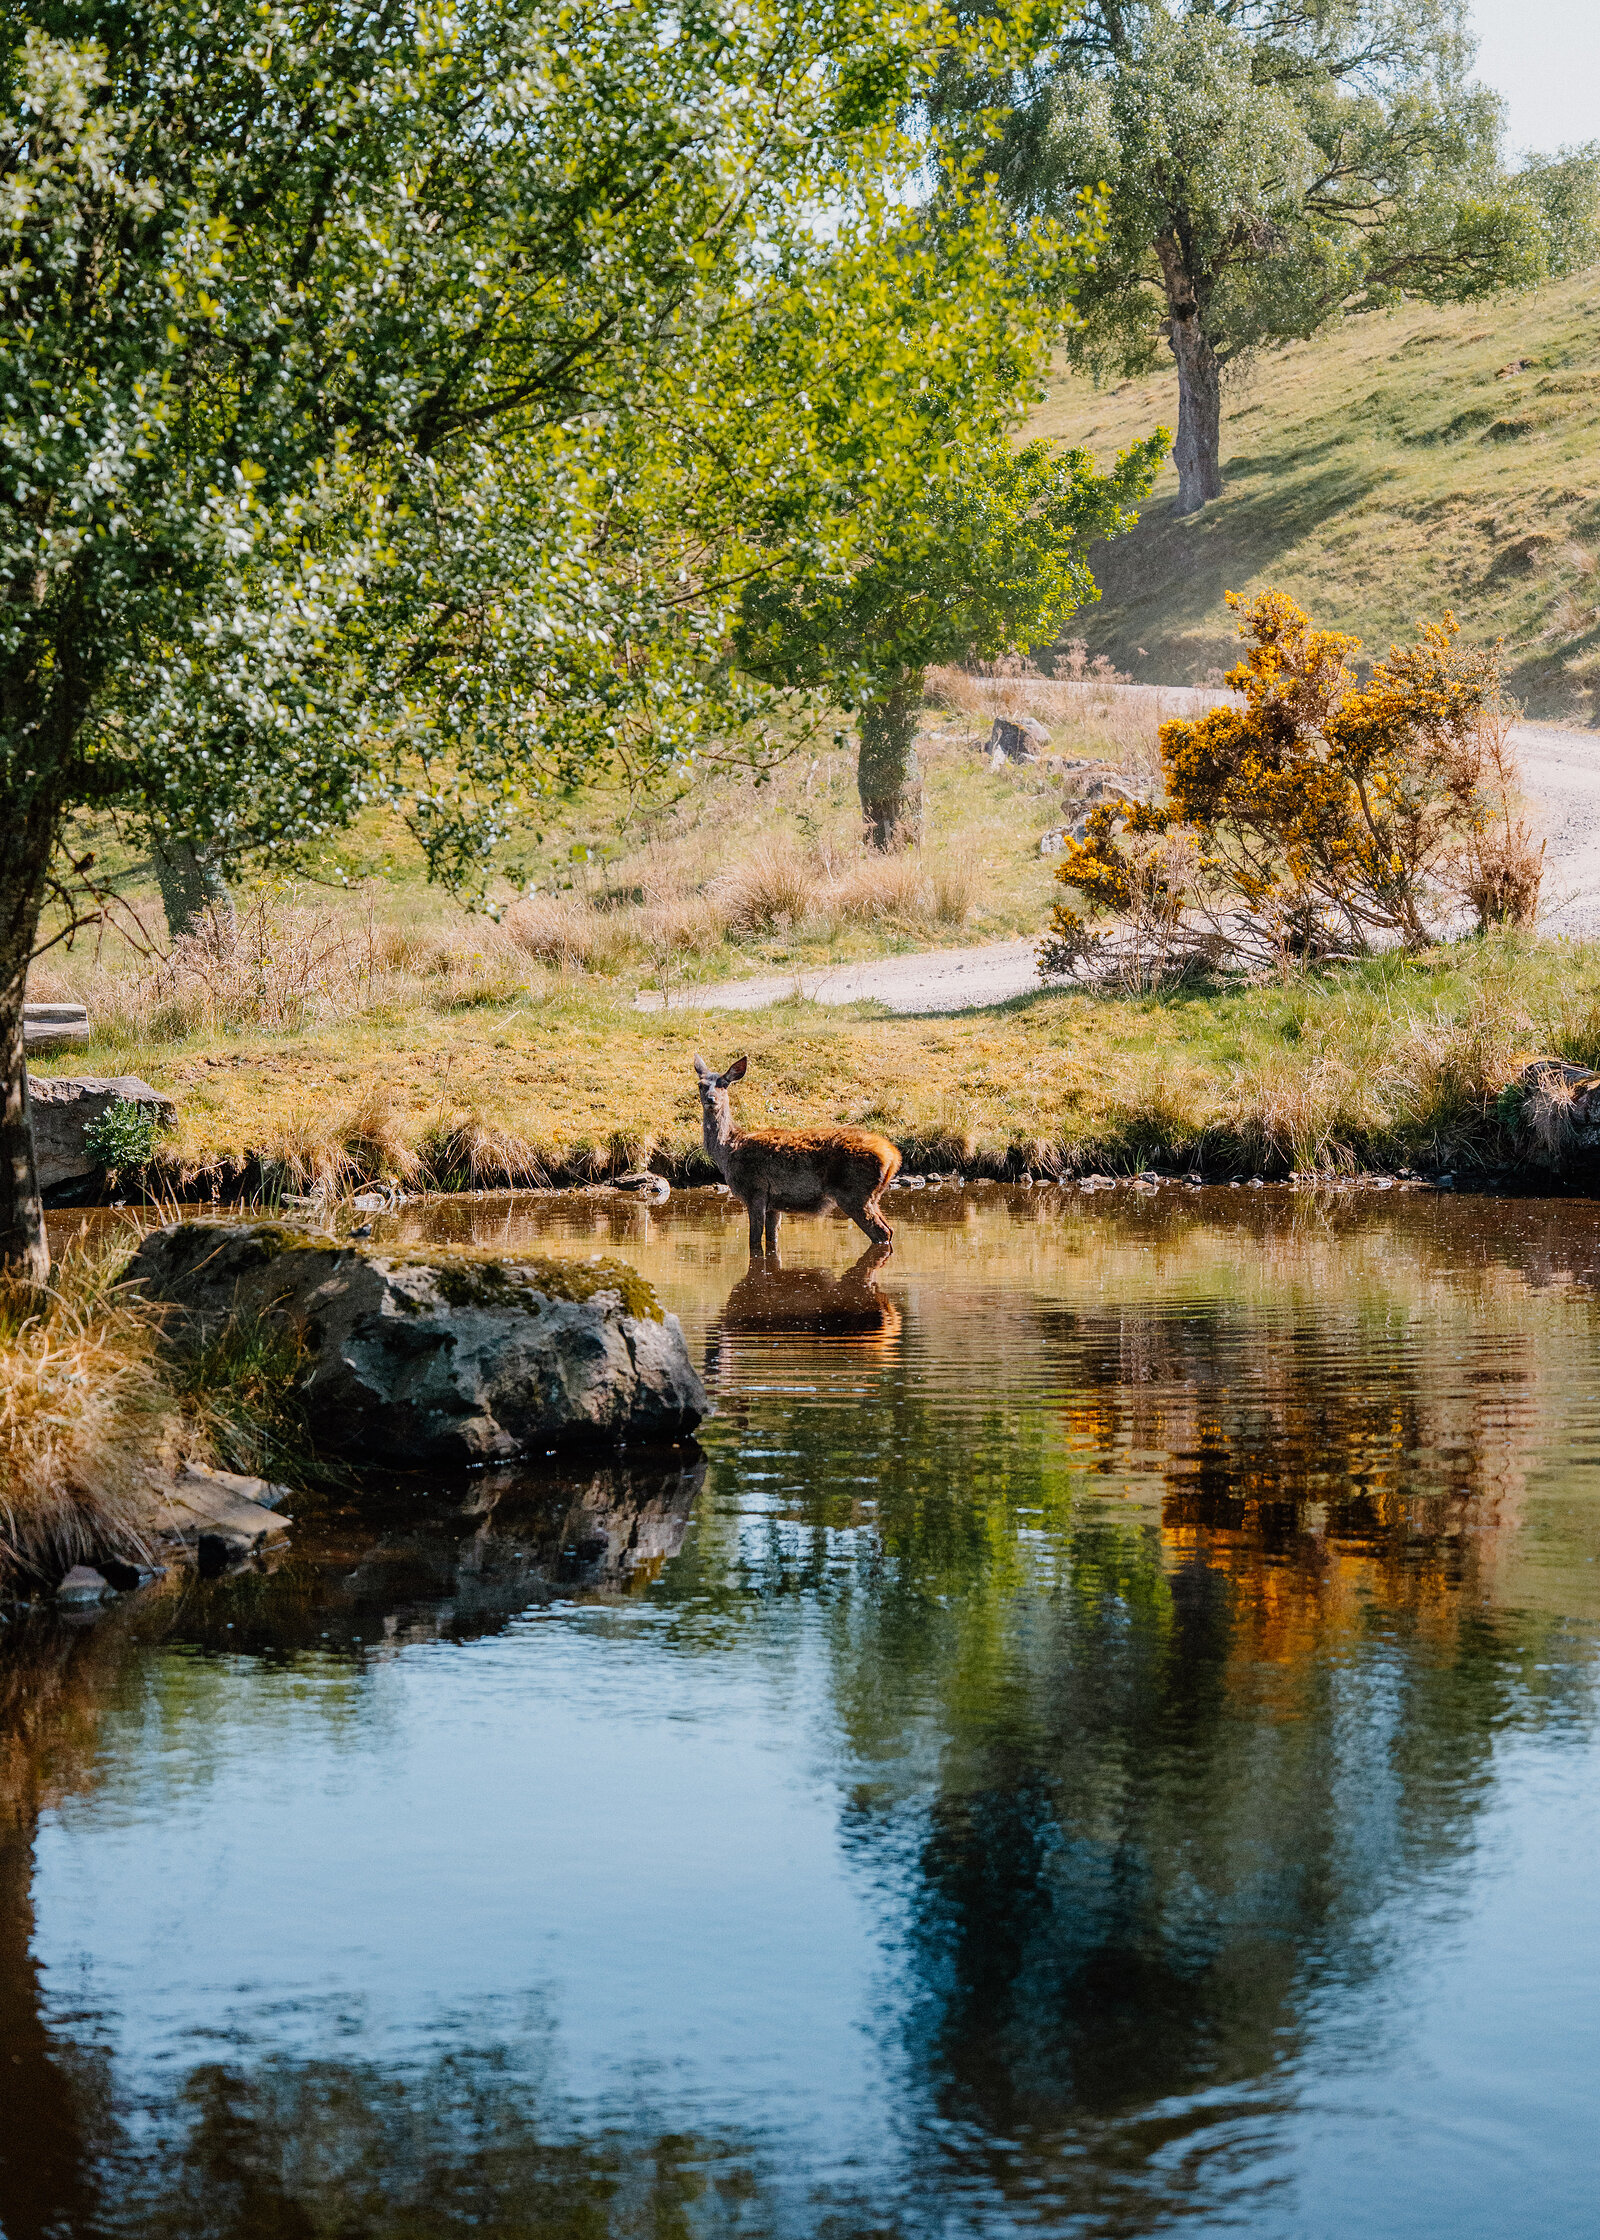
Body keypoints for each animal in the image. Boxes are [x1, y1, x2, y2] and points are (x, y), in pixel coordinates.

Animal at [693, 1055, 901, 1255]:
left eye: (724, 1084)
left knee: (882, 1232)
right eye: (700, 1084)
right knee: (889, 1229)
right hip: (872, 1197)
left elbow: (754, 1241)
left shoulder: (754, 1190)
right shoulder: (773, 1204)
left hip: (854, 1193)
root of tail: (893, 1157)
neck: (728, 1152)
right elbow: (772, 1240)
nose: (711, 1099)